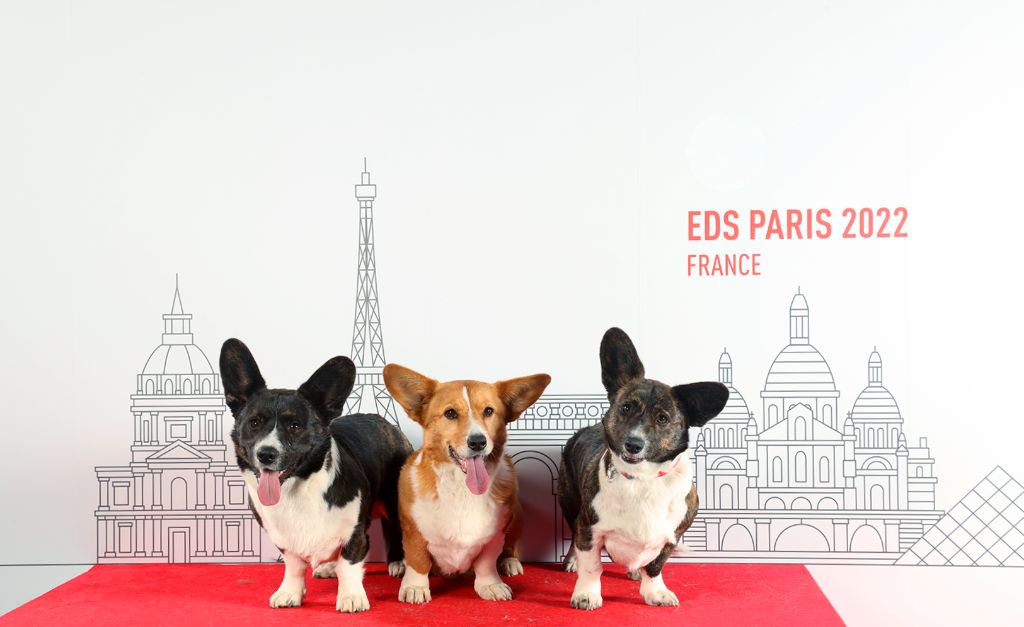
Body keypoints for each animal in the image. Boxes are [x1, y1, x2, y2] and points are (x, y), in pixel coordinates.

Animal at [219, 339, 413, 612]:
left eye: (295, 426)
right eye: (254, 423)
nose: (266, 454)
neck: (298, 489)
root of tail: (385, 422)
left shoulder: (354, 530)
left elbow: (349, 563)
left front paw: (351, 597)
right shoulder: (283, 539)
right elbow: (294, 566)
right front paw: (289, 593)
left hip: (394, 502)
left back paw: (397, 563)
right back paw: (329, 566)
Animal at [382, 363, 551, 604]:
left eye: (489, 411)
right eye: (450, 413)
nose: (478, 442)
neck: (461, 488)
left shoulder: (495, 535)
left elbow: (486, 563)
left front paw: (490, 585)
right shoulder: (413, 530)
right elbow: (418, 559)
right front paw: (415, 587)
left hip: (517, 514)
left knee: (510, 548)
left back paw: (509, 562)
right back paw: (398, 565)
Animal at [557, 328, 728, 609]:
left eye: (662, 418)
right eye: (626, 407)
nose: (634, 444)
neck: (643, 479)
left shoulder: (672, 536)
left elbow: (655, 566)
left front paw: (655, 592)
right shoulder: (589, 527)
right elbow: (592, 567)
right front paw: (587, 594)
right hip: (570, 504)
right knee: (572, 536)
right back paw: (572, 560)